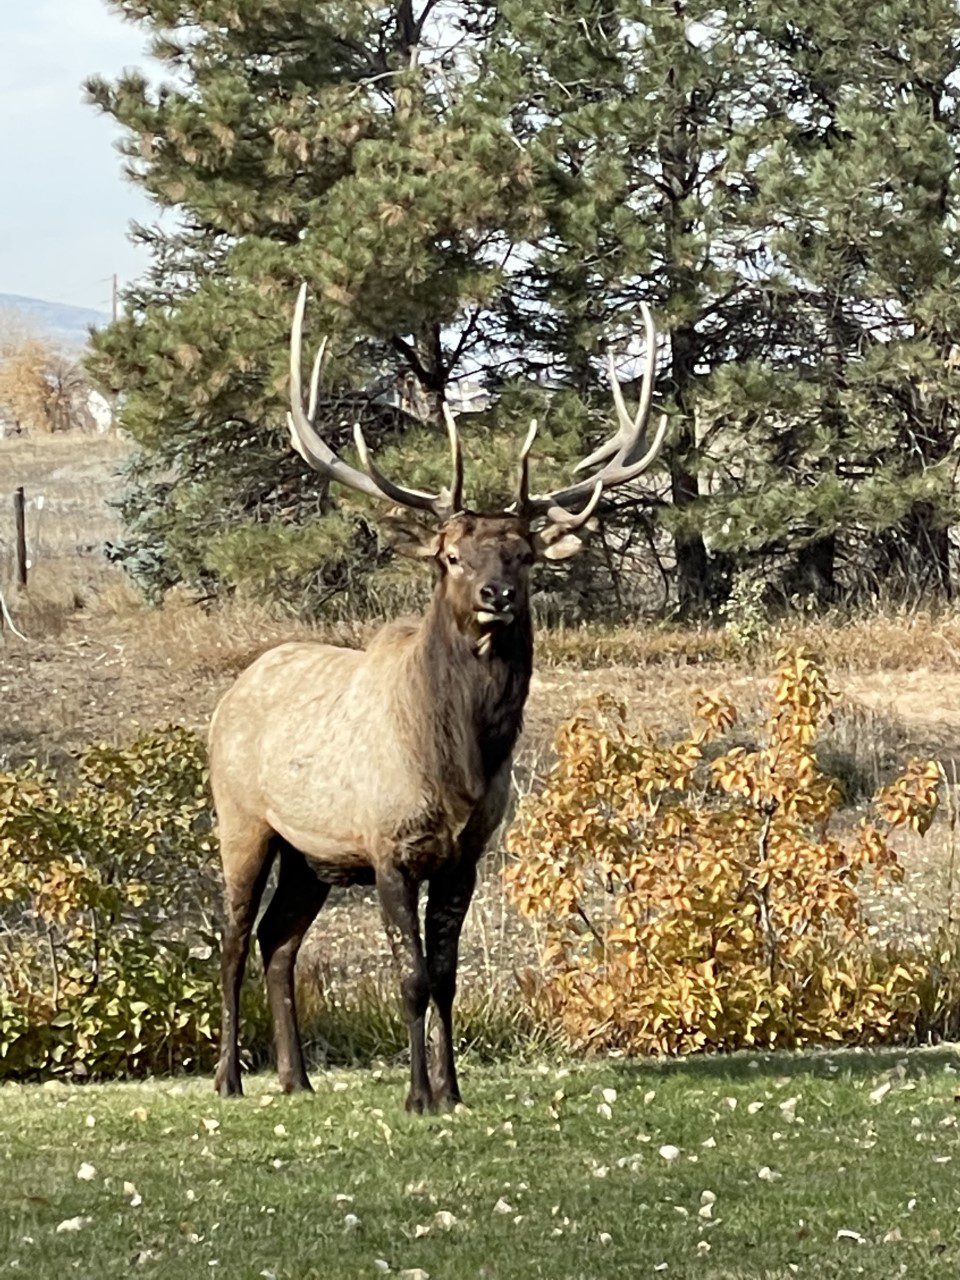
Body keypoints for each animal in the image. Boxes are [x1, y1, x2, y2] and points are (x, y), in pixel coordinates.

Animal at [209, 285, 668, 1112]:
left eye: (523, 555)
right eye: (452, 555)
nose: (496, 596)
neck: (455, 766)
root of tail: (232, 694)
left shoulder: (466, 854)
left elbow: (449, 978)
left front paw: (453, 1090)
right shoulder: (388, 844)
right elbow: (413, 977)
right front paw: (418, 1094)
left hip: (312, 855)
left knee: (277, 940)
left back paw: (297, 1077)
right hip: (243, 818)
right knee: (230, 939)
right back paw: (230, 1076)